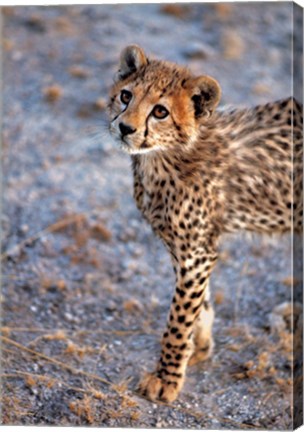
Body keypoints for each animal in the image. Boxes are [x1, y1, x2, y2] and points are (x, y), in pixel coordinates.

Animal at [107, 45, 302, 404]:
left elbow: (179, 317)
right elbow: (199, 303)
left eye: (160, 112)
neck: (165, 157)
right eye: (126, 96)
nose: (125, 128)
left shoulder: (195, 253)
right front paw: (197, 348)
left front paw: (167, 376)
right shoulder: (187, 248)